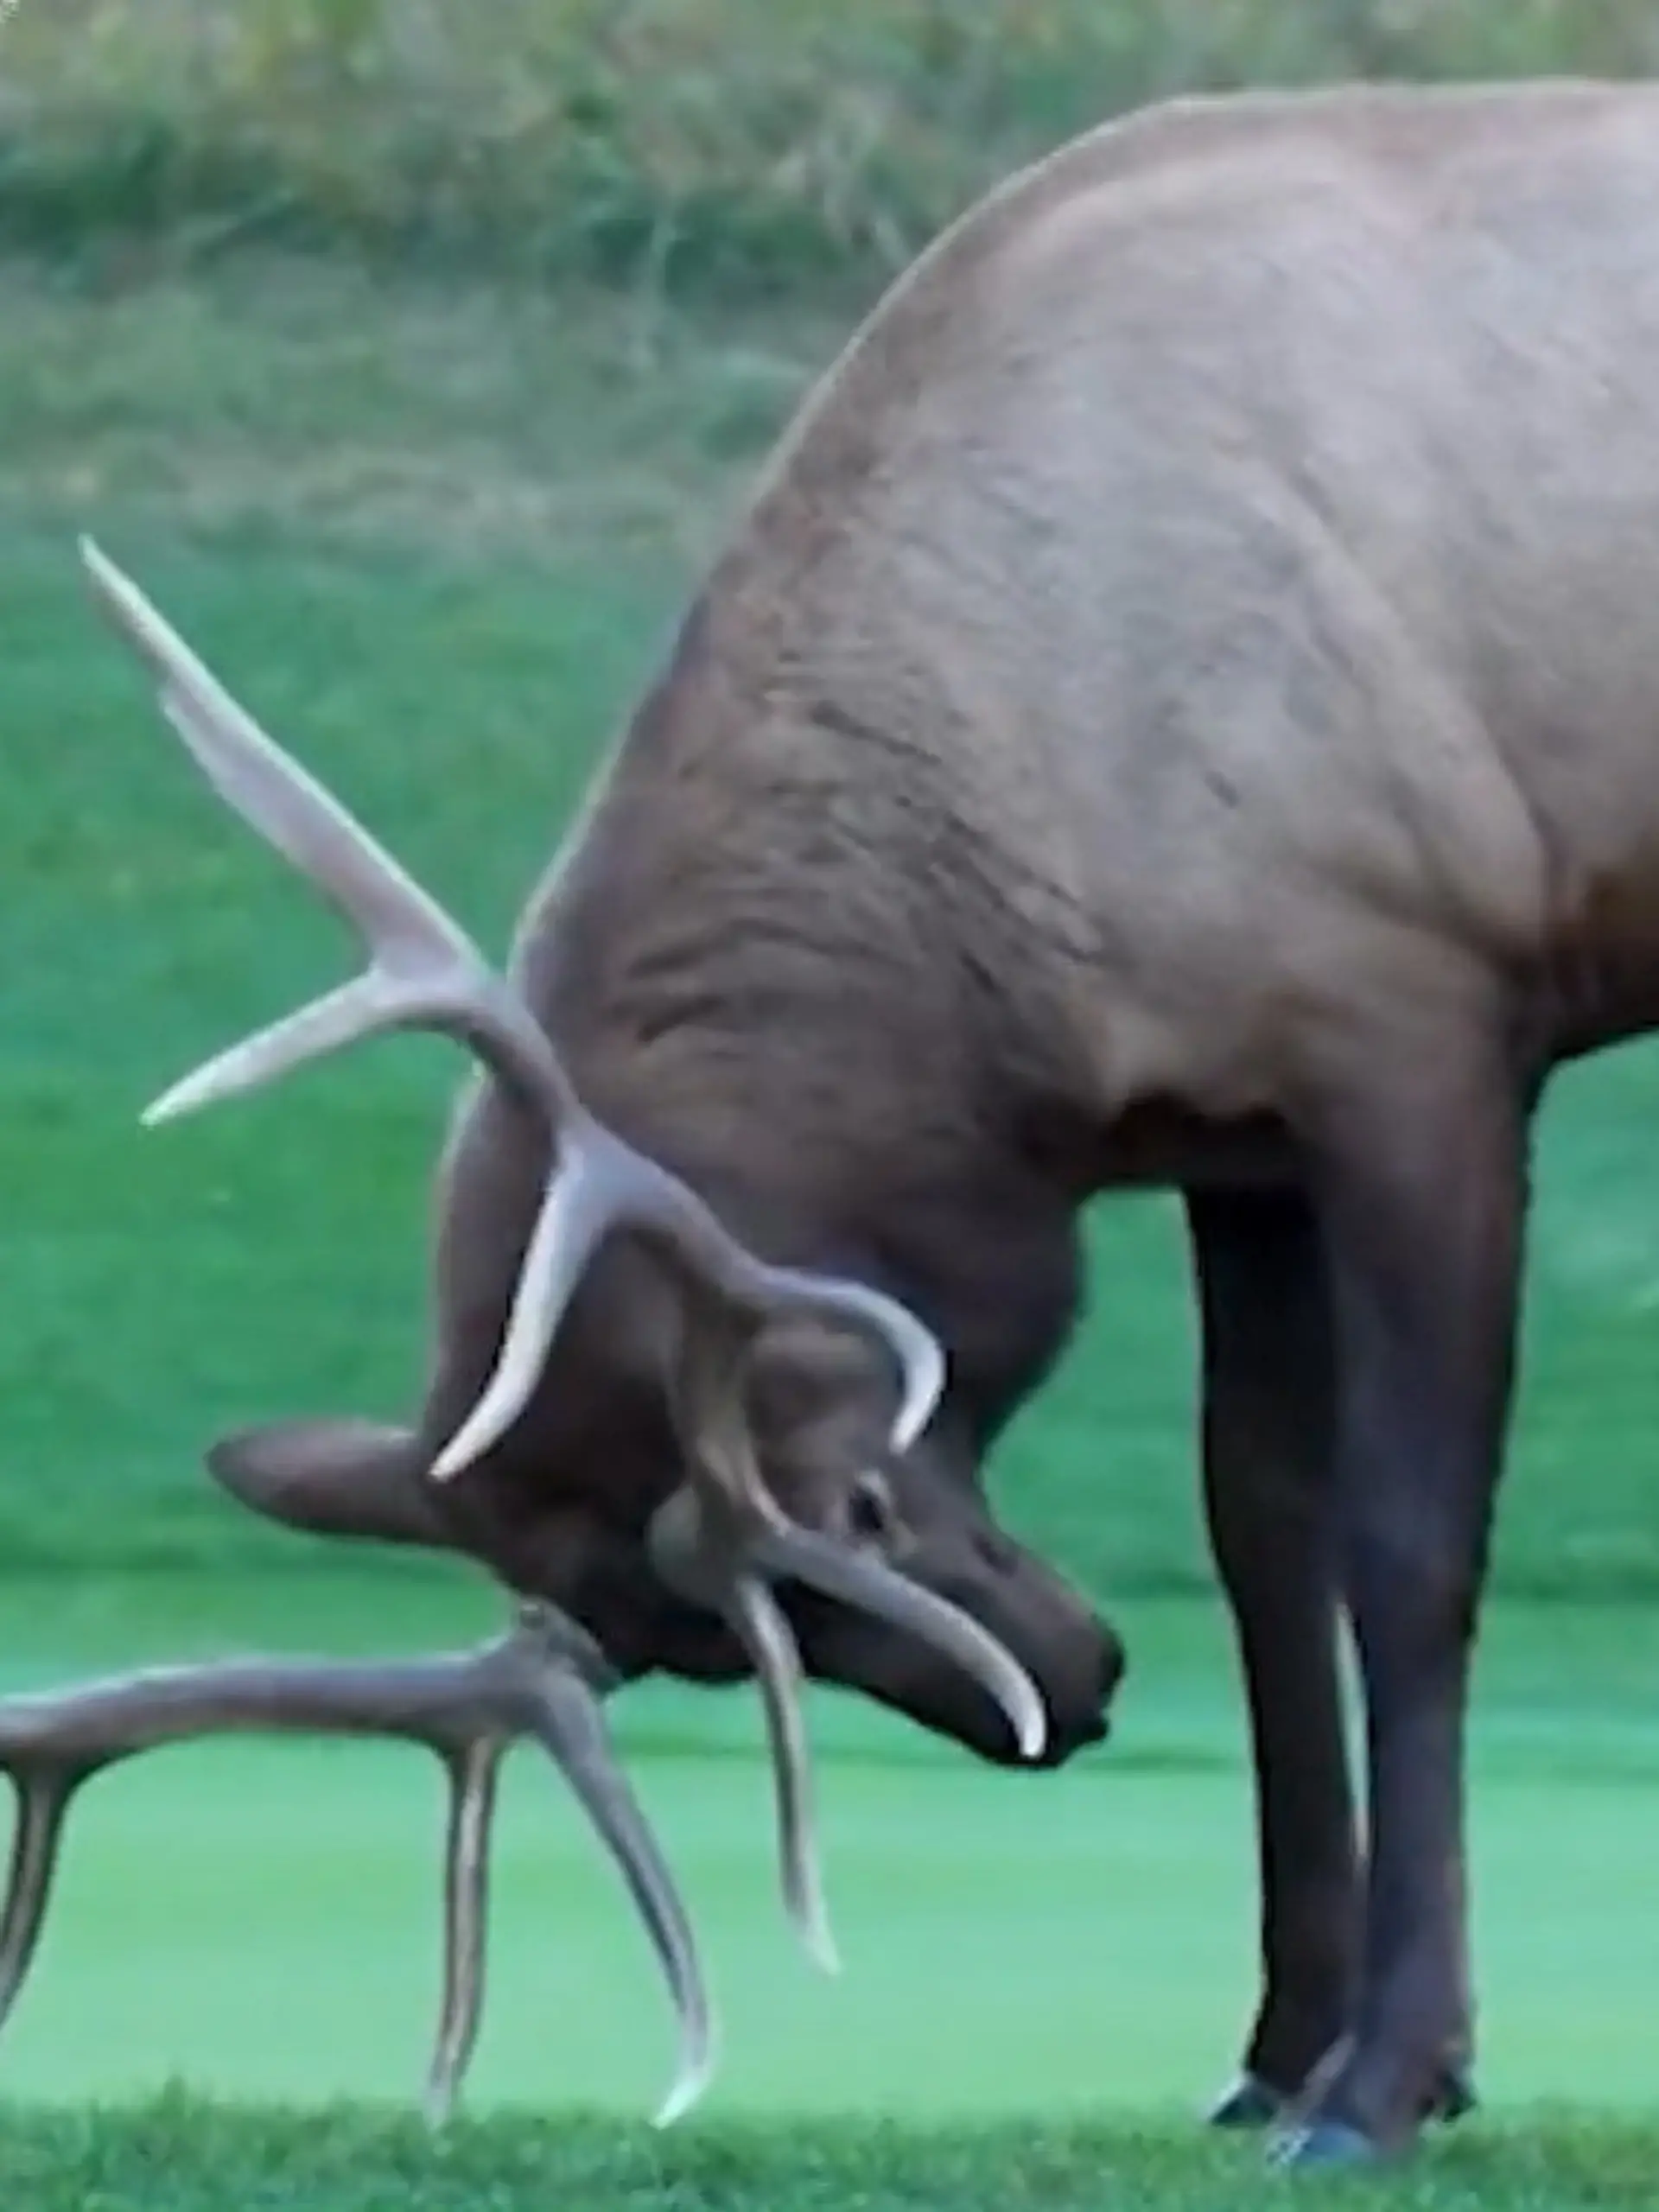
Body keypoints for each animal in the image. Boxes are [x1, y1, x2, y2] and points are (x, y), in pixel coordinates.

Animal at [0, 70, 1653, 2171]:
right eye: (694, 1640)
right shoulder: (1237, 1128)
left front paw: (1390, 2077)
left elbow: (1407, 1549)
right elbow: (1259, 1534)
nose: (1073, 1692)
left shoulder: (1415, 1011)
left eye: (851, 1510)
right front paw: (1279, 2038)